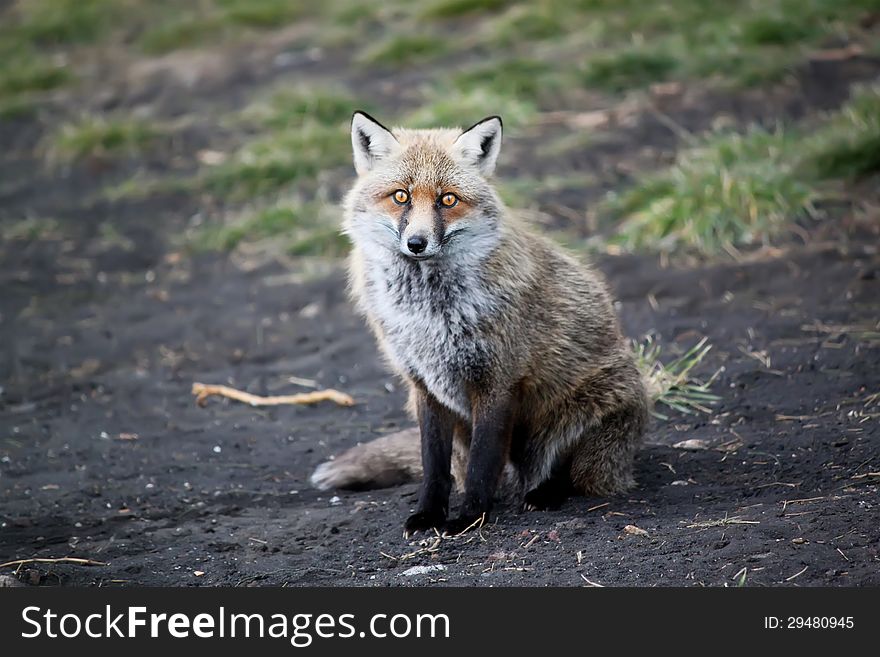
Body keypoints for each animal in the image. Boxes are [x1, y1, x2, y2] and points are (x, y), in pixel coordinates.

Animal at [310, 110, 648, 536]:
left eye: (448, 199)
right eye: (401, 196)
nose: (417, 243)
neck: (427, 312)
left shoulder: (498, 381)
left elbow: (482, 465)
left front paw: (470, 518)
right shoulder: (424, 387)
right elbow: (434, 469)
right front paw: (428, 515)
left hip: (585, 415)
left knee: (570, 473)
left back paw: (544, 493)